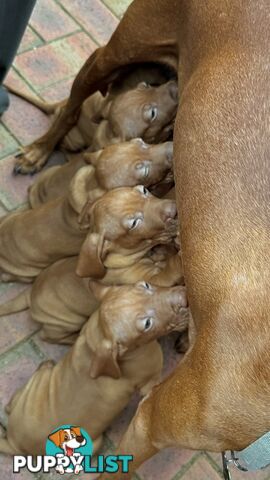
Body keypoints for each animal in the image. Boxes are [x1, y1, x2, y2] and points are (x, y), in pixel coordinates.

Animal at [0, 284, 188, 456]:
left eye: (146, 285)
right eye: (147, 324)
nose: (184, 296)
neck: (98, 336)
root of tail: (13, 442)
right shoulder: (150, 380)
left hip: (33, 387)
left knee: (10, 405)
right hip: (95, 443)